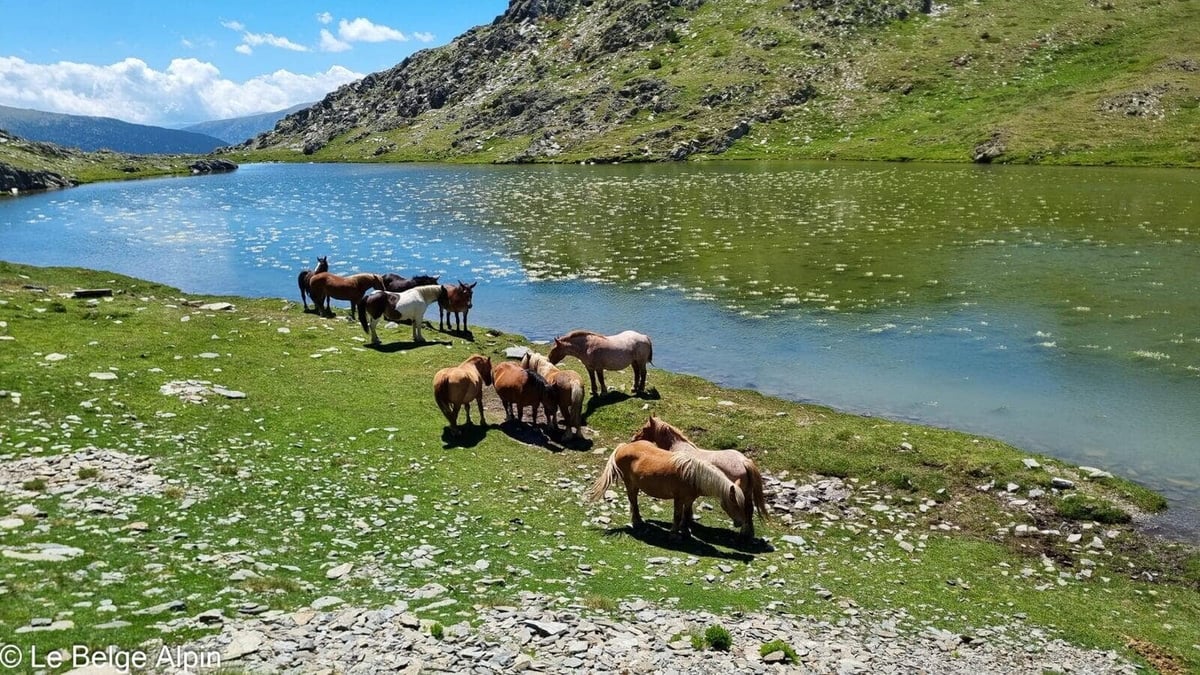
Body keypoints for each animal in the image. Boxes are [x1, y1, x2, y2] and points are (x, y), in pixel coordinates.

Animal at [587, 440, 745, 539]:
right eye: (735, 503)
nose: (740, 523)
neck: (693, 474)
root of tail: (624, 446)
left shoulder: (689, 499)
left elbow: (686, 515)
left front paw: (685, 532)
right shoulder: (678, 498)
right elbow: (677, 515)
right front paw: (674, 534)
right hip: (630, 484)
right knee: (633, 501)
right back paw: (637, 522)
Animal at [632, 415, 769, 540]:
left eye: (645, 428)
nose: (634, 439)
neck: (678, 447)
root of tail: (744, 461)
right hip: (746, 493)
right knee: (749, 509)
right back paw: (748, 533)